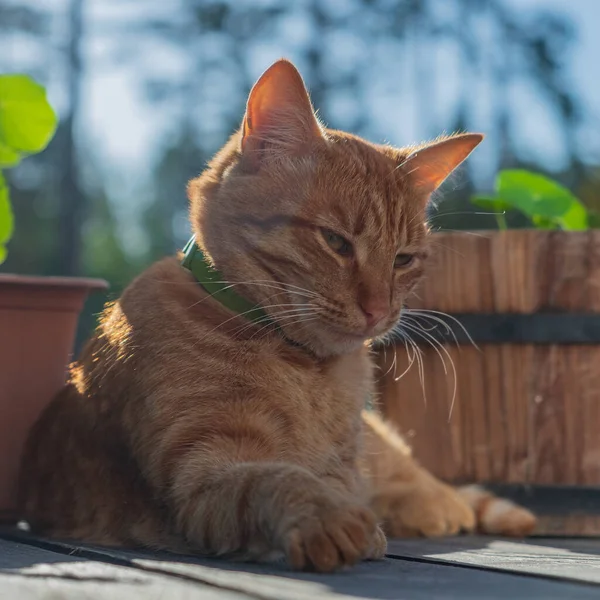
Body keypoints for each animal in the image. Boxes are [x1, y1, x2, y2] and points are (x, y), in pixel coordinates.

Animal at [17, 61, 536, 572]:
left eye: (404, 259)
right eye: (336, 242)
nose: (379, 311)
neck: (304, 367)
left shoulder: (341, 468)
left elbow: (336, 484)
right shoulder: (202, 467)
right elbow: (275, 479)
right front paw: (329, 518)